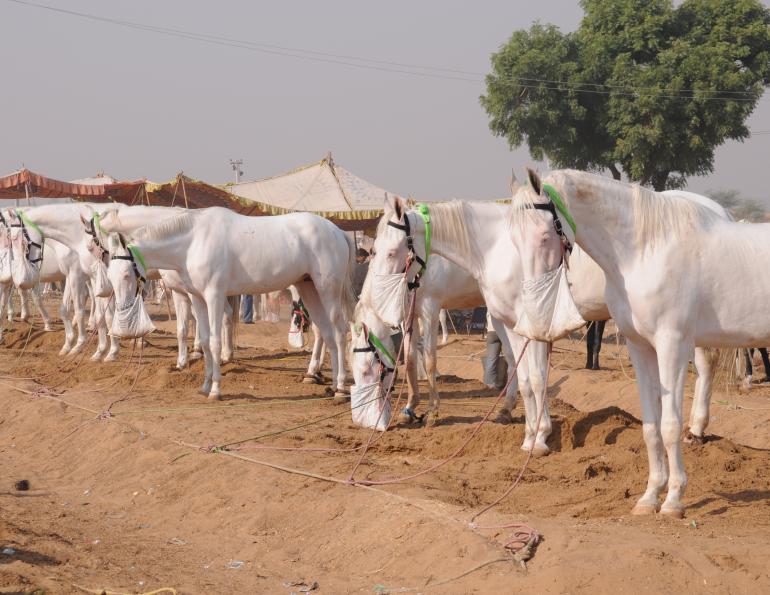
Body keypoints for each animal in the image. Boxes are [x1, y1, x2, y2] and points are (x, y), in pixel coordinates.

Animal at [101, 207, 356, 400]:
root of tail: (337, 231)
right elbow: (204, 341)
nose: (123, 312)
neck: (193, 241)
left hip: (328, 290)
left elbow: (215, 341)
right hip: (308, 288)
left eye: (127, 275)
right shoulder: (197, 298)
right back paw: (332, 384)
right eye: (111, 275)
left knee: (339, 332)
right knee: (326, 333)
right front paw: (204, 386)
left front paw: (215, 390)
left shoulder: (214, 295)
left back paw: (341, 389)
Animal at [508, 168, 766, 517]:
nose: (532, 308)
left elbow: (670, 424)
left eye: (545, 236)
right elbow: (650, 427)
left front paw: (673, 500)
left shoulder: (672, 344)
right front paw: (650, 496)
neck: (645, 252)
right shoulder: (639, 346)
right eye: (513, 239)